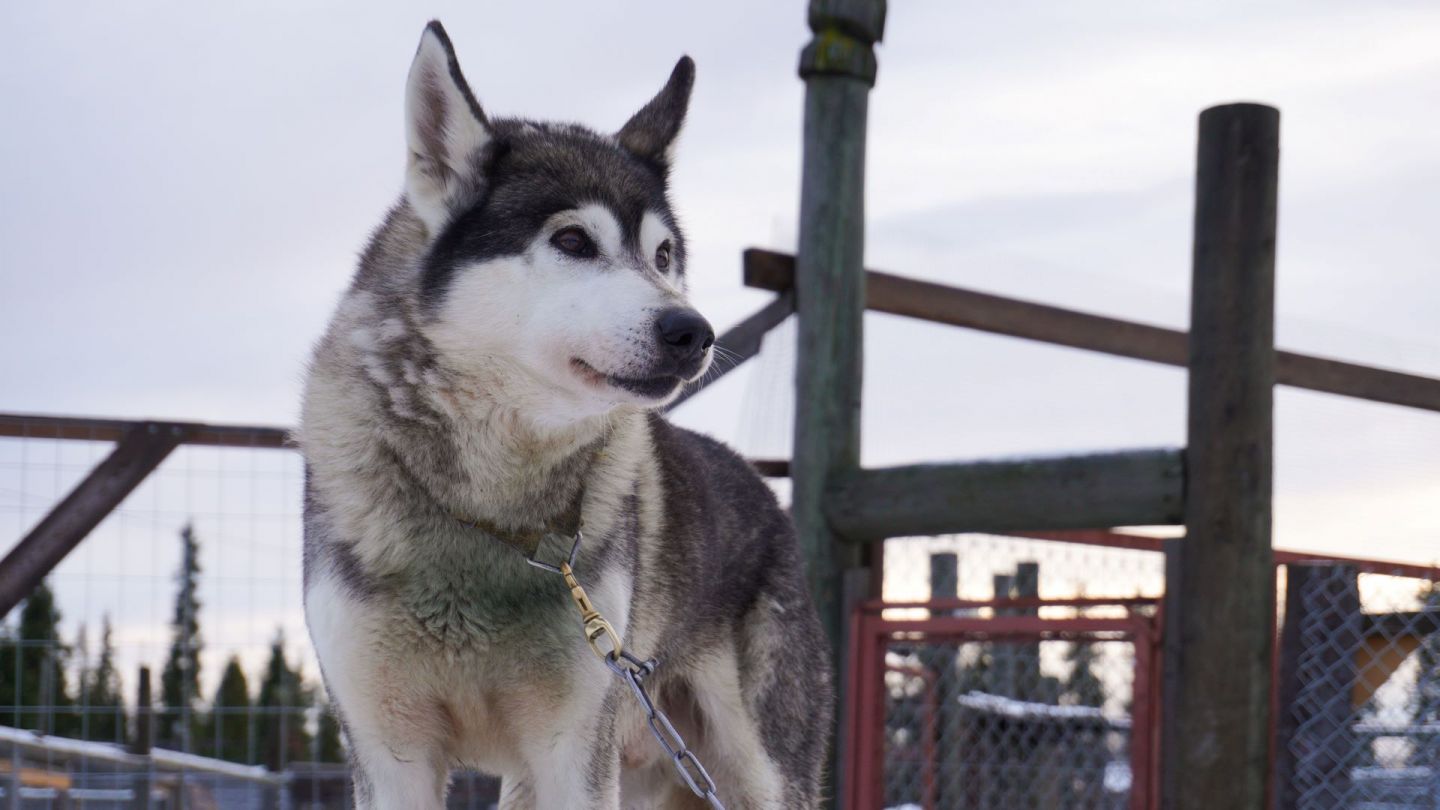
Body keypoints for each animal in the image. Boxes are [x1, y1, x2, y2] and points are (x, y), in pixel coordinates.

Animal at [295, 20, 835, 807]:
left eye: (663, 254)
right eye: (573, 241)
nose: (694, 331)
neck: (487, 511)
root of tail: (767, 491)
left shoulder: (574, 750)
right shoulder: (392, 755)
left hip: (751, 769)